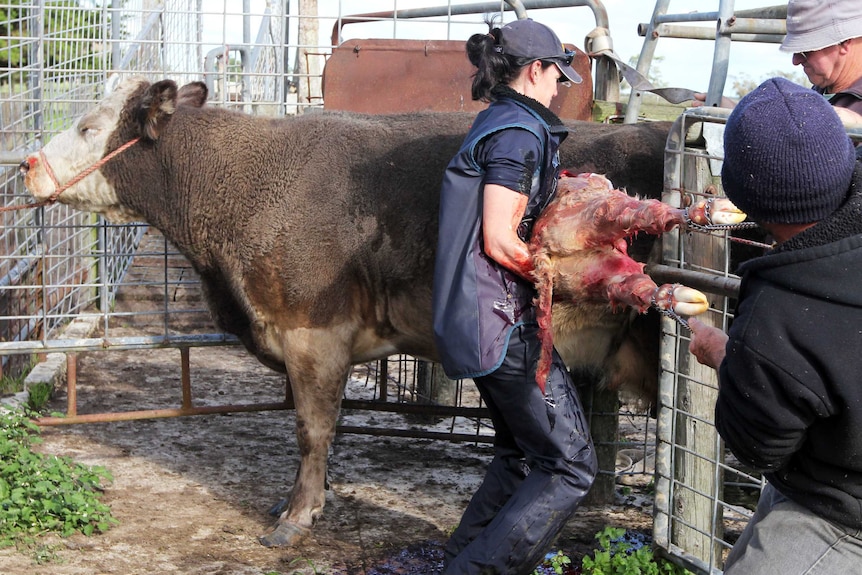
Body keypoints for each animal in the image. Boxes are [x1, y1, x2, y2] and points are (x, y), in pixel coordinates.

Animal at [18, 77, 676, 548]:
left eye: (88, 126)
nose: (26, 165)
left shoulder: (314, 333)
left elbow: (313, 429)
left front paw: (298, 513)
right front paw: (309, 496)